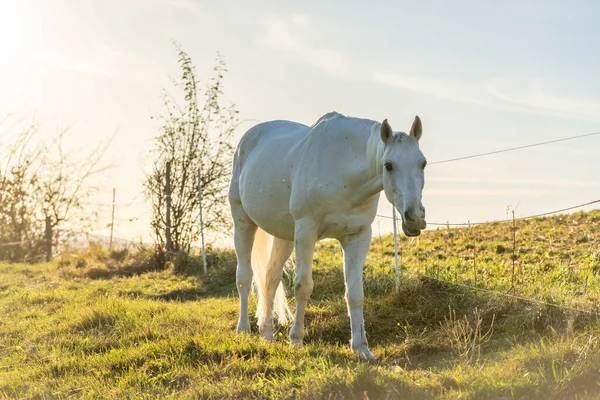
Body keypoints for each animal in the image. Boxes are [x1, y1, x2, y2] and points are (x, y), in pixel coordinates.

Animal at [226, 111, 426, 360]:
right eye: (388, 165)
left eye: (423, 163)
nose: (415, 217)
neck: (343, 171)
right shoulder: (306, 231)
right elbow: (303, 286)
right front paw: (296, 340)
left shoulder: (358, 236)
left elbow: (355, 293)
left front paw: (361, 348)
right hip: (243, 222)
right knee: (244, 277)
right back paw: (243, 330)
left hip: (285, 235)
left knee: (270, 278)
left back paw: (267, 334)